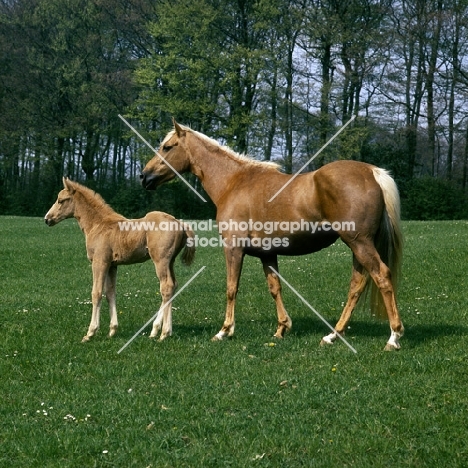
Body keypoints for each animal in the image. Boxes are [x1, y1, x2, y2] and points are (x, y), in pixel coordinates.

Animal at [44, 177, 195, 342]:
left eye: (61, 200)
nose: (47, 219)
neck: (98, 225)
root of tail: (181, 224)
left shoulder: (99, 262)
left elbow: (96, 293)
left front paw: (90, 332)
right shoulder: (112, 265)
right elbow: (110, 292)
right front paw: (112, 330)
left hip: (160, 261)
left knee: (166, 287)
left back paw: (163, 333)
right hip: (170, 262)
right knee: (173, 285)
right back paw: (157, 330)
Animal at [139, 121, 402, 352]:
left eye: (167, 147)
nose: (144, 176)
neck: (233, 182)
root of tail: (372, 172)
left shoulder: (233, 248)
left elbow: (231, 287)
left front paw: (225, 331)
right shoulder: (267, 253)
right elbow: (275, 288)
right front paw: (282, 328)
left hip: (360, 244)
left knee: (382, 276)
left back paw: (393, 337)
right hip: (358, 246)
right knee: (357, 285)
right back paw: (332, 336)